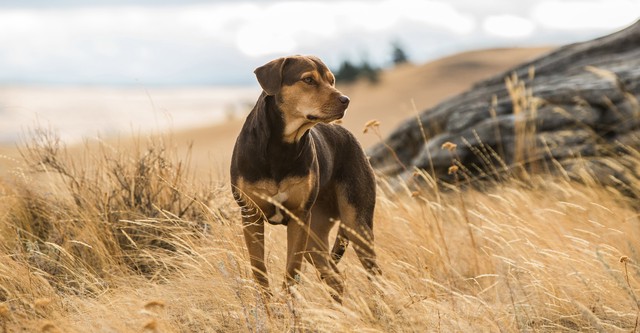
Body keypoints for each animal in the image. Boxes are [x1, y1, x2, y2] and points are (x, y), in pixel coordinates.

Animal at [230, 55, 380, 300]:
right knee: (335, 277)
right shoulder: (251, 215)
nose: (345, 100)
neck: (282, 147)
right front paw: (268, 307)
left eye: (331, 80)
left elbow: (292, 272)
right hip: (315, 236)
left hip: (355, 224)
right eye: (308, 79)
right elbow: (259, 270)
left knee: (373, 274)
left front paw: (288, 308)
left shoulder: (299, 217)